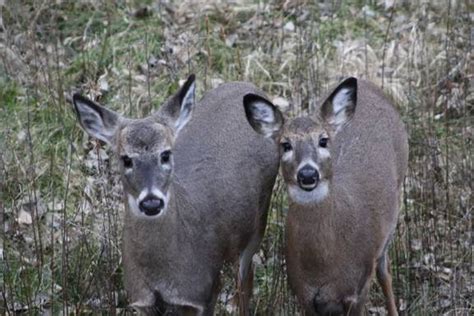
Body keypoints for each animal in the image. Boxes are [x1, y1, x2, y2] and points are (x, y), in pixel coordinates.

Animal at [72, 75, 280, 314]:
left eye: (165, 154)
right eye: (126, 159)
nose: (151, 203)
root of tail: (249, 86)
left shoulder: (203, 292)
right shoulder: (140, 300)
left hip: (257, 225)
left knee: (245, 277)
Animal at [243, 77, 410, 316]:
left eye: (323, 140)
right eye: (286, 144)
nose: (307, 174)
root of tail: (367, 83)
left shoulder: (358, 289)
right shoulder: (303, 294)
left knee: (384, 271)